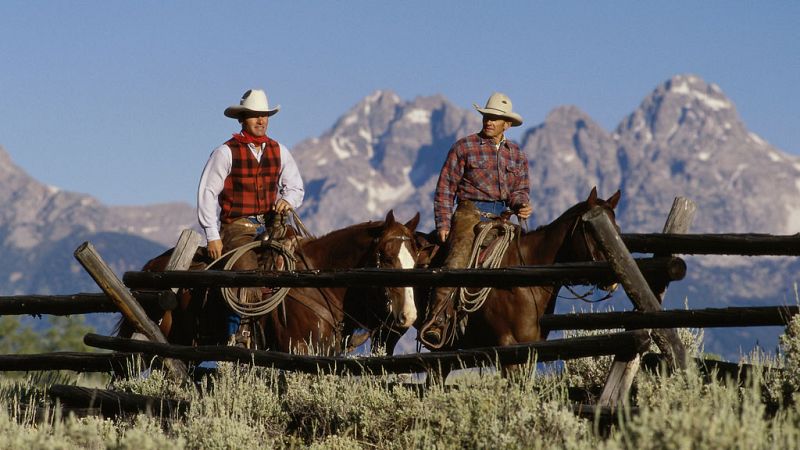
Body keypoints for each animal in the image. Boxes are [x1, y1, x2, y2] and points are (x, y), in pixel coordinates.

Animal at [119, 211, 422, 356]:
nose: (408, 315)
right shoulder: (296, 350)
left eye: (415, 259)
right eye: (385, 257)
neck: (318, 284)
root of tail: (152, 266)